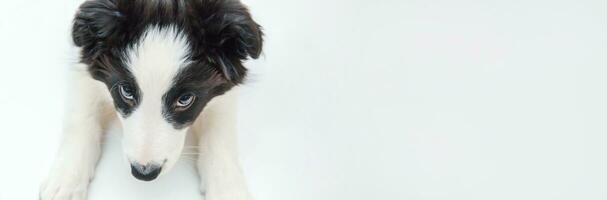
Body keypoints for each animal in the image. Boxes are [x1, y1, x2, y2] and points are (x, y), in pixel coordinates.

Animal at [39, 0, 262, 199]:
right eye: (127, 91)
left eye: (185, 99)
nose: (144, 173)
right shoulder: (84, 66)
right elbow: (80, 119)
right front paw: (66, 180)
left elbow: (220, 136)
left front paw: (228, 190)